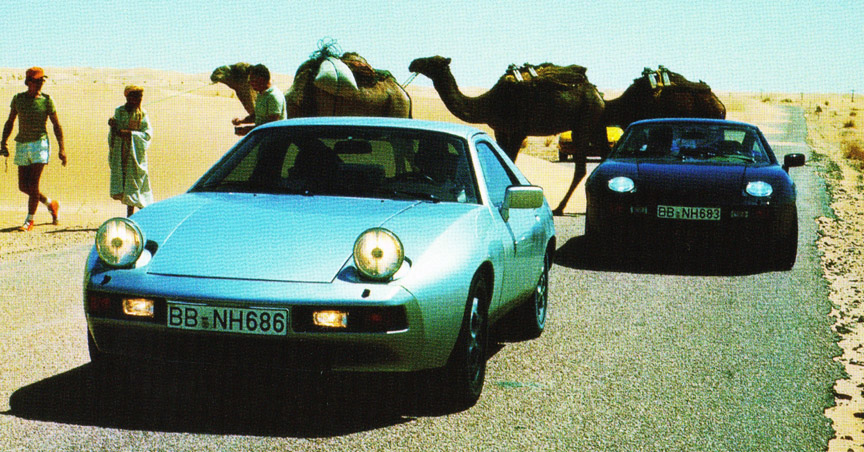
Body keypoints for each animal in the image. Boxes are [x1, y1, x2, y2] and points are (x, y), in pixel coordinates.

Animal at [410, 56, 608, 215]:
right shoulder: (501, 130)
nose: (413, 64)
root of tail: (598, 94)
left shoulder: (518, 131)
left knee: (580, 169)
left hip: (583, 122)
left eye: (433, 61)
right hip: (596, 123)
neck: (488, 103)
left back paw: (559, 208)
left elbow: (510, 160)